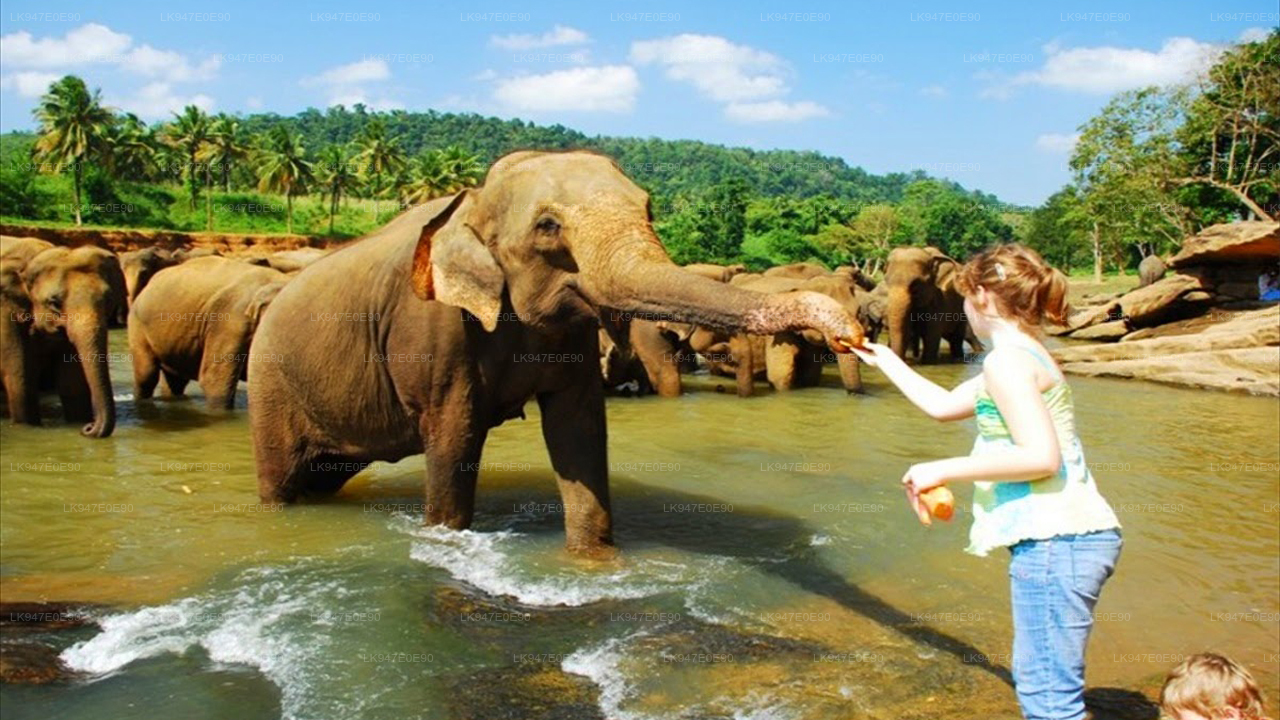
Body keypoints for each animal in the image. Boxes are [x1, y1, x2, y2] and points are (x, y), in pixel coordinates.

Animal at [0, 242, 126, 437]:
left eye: (108, 300)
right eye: (54, 303)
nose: (88, 427)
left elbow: (72, 383)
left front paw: (77, 423)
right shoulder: (5, 314)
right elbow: (19, 377)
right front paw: (28, 428)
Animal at [247, 150, 863, 556]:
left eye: (649, 210)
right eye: (547, 227)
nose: (851, 329)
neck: (472, 199)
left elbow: (578, 431)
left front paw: (592, 562)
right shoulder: (435, 330)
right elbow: (454, 438)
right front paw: (446, 540)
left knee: (324, 476)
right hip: (271, 385)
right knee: (281, 481)